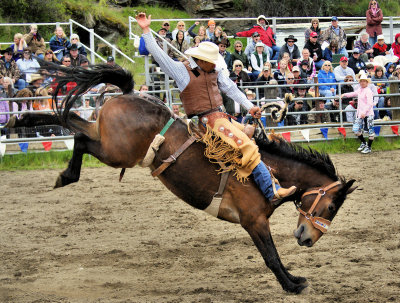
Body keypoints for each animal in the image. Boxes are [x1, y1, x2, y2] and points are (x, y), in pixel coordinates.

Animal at [10, 64, 356, 294]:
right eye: (330, 208)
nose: (308, 239)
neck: (271, 173)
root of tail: (133, 95)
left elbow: (273, 256)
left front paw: (295, 279)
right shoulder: (254, 221)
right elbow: (271, 256)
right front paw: (292, 285)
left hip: (106, 136)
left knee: (73, 122)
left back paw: (21, 120)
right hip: (115, 151)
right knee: (79, 137)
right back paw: (61, 171)